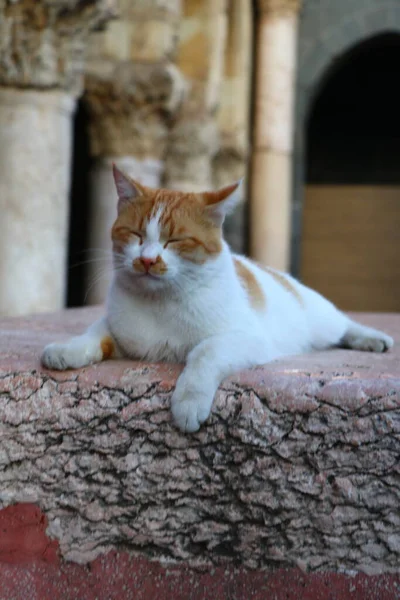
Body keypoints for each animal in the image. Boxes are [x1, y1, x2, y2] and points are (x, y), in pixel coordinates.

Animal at [41, 165, 394, 432]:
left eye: (174, 241)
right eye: (136, 235)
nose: (147, 260)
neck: (160, 302)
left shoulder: (247, 339)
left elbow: (204, 352)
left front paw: (189, 401)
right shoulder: (119, 328)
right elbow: (92, 334)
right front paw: (66, 349)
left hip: (319, 317)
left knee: (343, 323)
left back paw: (372, 338)